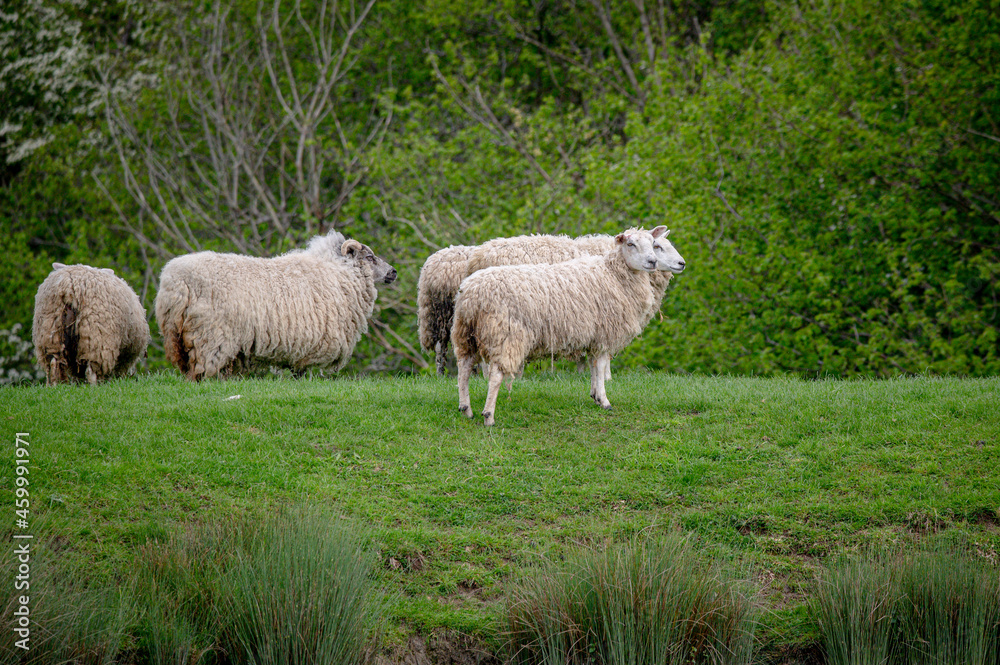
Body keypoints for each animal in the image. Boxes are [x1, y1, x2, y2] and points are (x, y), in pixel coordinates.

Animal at [155, 230, 396, 381]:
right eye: (370, 257)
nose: (393, 272)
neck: (339, 272)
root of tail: (174, 282)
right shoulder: (308, 342)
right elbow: (302, 371)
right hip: (210, 336)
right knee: (203, 372)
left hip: (179, 337)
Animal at [451, 227, 665, 426]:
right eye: (631, 244)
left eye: (653, 243)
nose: (652, 262)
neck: (613, 275)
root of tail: (472, 294)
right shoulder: (605, 333)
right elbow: (602, 366)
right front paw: (605, 401)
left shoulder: (594, 336)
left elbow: (594, 366)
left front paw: (595, 396)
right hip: (505, 335)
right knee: (495, 375)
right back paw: (488, 416)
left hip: (465, 333)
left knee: (463, 369)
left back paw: (466, 409)